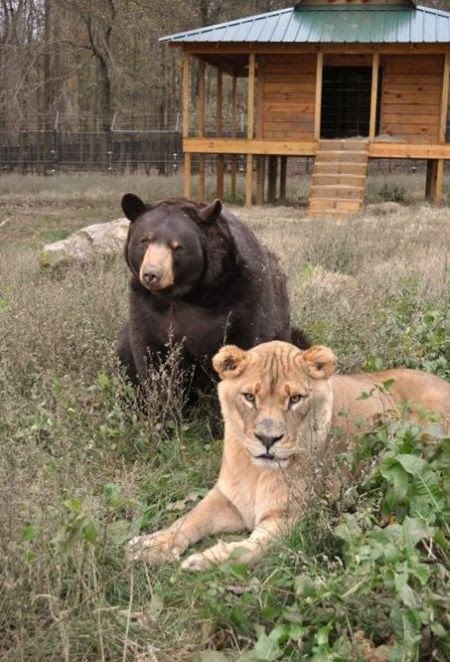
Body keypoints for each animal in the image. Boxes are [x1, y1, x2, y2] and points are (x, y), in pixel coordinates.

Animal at [117, 193, 309, 396]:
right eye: (145, 240)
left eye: (177, 247)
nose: (152, 274)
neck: (187, 294)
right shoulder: (146, 304)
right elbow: (152, 356)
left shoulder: (243, 299)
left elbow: (249, 341)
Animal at [127, 341, 450, 571]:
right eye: (249, 397)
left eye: (295, 399)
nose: (268, 439)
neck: (256, 472)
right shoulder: (227, 499)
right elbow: (188, 520)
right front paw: (150, 545)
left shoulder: (293, 516)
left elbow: (249, 549)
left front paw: (202, 560)